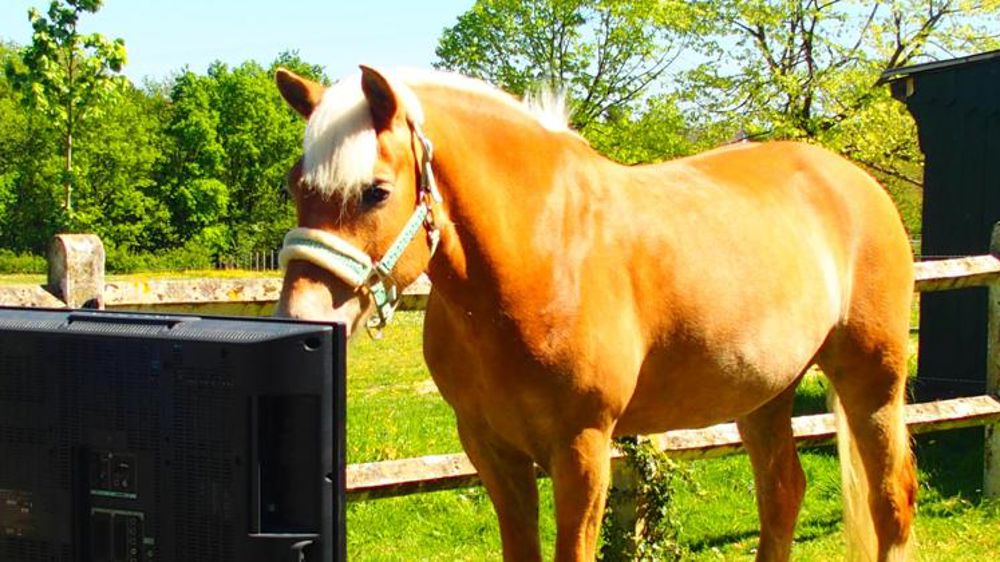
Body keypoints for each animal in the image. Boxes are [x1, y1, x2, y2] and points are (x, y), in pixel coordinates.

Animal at [273, 65, 916, 562]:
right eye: (296, 184)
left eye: (376, 191)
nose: (302, 317)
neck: (541, 253)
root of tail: (858, 185)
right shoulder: (491, 449)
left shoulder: (581, 447)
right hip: (764, 395)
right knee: (783, 493)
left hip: (873, 382)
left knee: (891, 501)